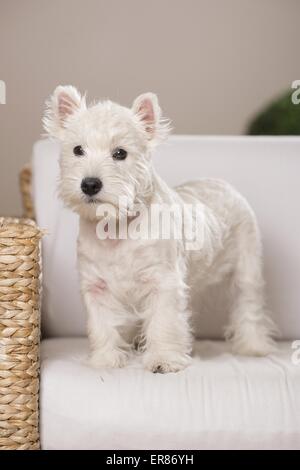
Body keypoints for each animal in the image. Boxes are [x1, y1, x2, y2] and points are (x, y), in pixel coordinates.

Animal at [43, 83, 278, 370]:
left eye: (120, 153)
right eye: (78, 150)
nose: (89, 184)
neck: (116, 228)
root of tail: (222, 183)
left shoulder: (163, 282)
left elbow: (164, 323)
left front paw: (163, 360)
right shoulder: (96, 287)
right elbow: (103, 326)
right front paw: (106, 359)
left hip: (248, 267)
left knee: (249, 306)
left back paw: (253, 346)